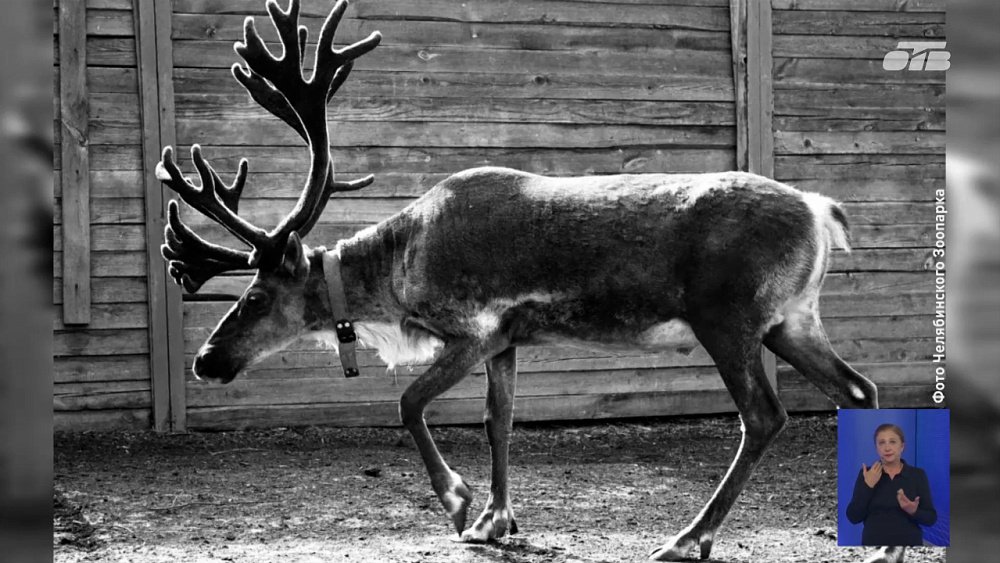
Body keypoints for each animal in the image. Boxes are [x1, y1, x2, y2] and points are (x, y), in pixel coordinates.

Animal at [157, 0, 897, 560]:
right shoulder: (507, 339)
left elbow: (408, 404)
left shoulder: (469, 329)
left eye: (255, 296)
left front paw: (459, 506)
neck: (399, 275)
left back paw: (688, 538)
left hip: (728, 318)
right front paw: (498, 519)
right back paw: (884, 541)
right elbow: (499, 421)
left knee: (765, 414)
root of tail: (821, 210)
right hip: (791, 321)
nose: (205, 358)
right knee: (860, 390)